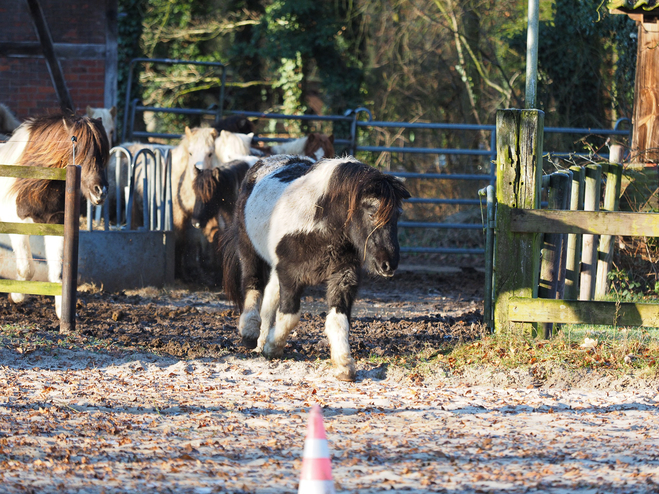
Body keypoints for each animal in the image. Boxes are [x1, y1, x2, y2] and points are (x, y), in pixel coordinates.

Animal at [0, 114, 109, 318]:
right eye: (78, 151)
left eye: (104, 154)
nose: (101, 191)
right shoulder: (17, 224)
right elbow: (27, 269)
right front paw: (16, 297)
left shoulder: (56, 225)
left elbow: (58, 273)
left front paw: (62, 310)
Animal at [222, 156, 408, 380]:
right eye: (371, 212)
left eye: (397, 215)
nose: (388, 264)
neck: (321, 223)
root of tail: (260, 163)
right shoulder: (290, 275)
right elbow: (290, 316)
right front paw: (273, 348)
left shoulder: (344, 275)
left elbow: (338, 320)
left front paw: (344, 365)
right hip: (249, 250)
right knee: (253, 284)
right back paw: (250, 334)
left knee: (269, 298)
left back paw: (261, 340)